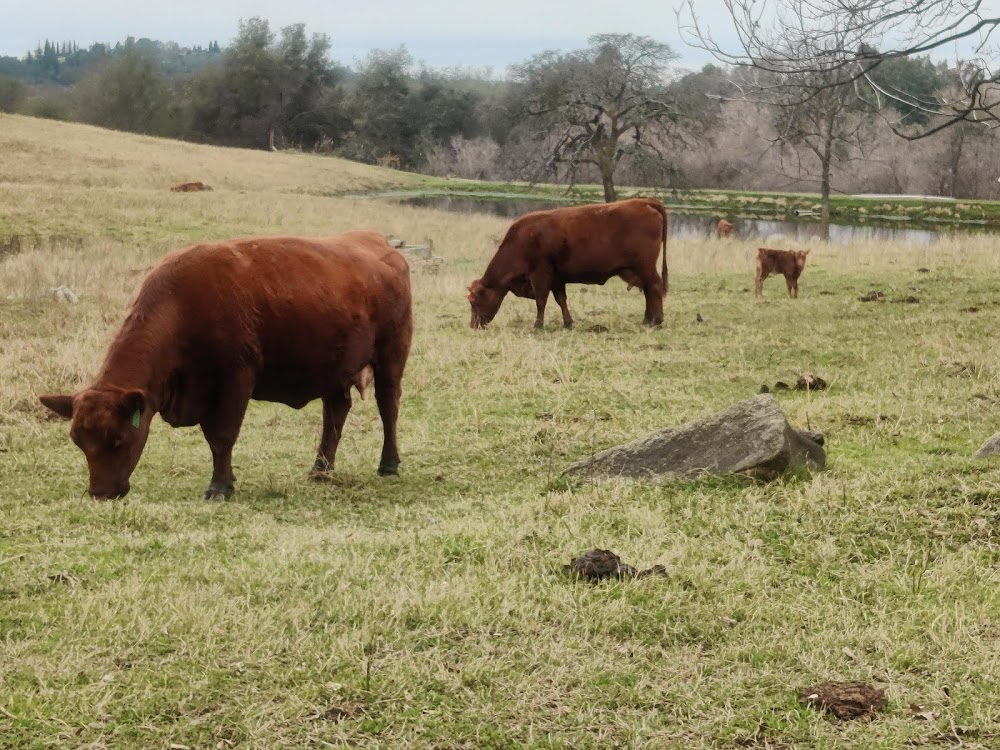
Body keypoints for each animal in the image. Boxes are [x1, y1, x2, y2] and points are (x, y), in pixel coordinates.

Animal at [38, 229, 414, 500]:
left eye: (118, 440)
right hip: (333, 370)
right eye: (78, 441)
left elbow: (221, 436)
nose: (100, 493)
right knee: (335, 414)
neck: (181, 307)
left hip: (391, 357)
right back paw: (320, 471)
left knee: (388, 407)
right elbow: (214, 438)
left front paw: (219, 487)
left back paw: (389, 464)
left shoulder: (235, 380)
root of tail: (380, 243)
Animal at [464, 198, 668, 330]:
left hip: (645, 267)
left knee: (654, 287)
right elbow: (561, 300)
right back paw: (647, 319)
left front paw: (538, 325)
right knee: (648, 290)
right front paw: (568, 323)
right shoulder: (557, 279)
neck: (520, 241)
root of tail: (645, 202)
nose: (473, 325)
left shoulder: (540, 275)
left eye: (474, 301)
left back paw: (656, 321)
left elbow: (541, 301)